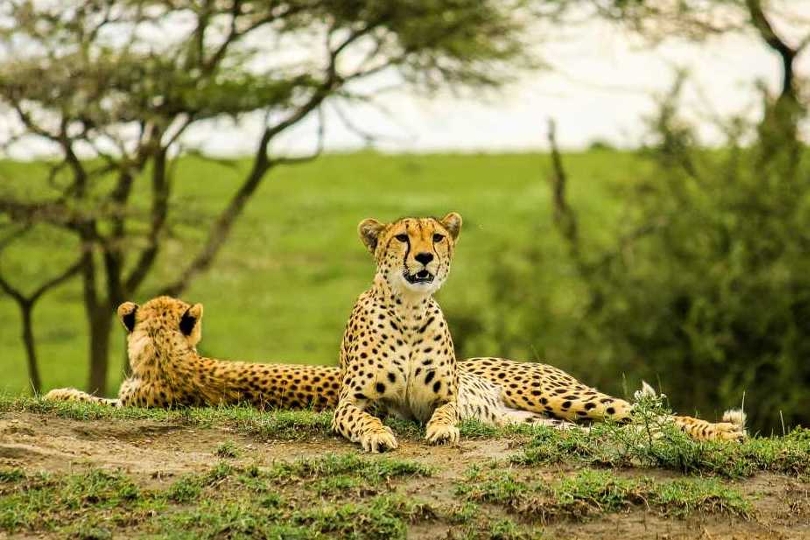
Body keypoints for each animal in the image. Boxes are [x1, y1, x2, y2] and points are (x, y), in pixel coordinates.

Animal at [330, 213, 746, 452]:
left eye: (436, 238)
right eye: (402, 238)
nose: (424, 258)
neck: (409, 310)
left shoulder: (443, 398)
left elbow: (445, 413)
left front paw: (443, 431)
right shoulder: (350, 403)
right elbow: (362, 418)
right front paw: (377, 435)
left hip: (558, 396)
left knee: (653, 415)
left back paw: (723, 433)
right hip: (548, 420)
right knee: (631, 429)